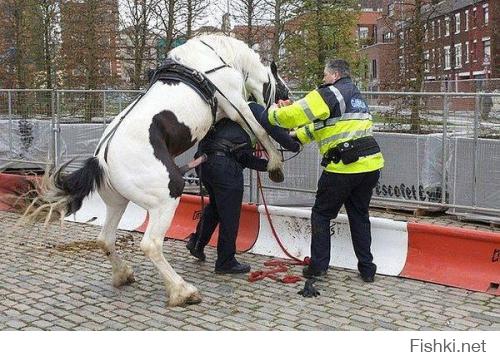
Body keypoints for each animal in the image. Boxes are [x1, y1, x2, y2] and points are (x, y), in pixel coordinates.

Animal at [27, 34, 292, 306]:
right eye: (282, 87)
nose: (288, 100)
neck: (215, 58)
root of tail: (101, 159)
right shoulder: (236, 104)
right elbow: (258, 130)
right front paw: (275, 165)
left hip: (117, 203)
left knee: (105, 239)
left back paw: (124, 274)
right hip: (165, 201)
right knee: (151, 244)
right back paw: (182, 291)